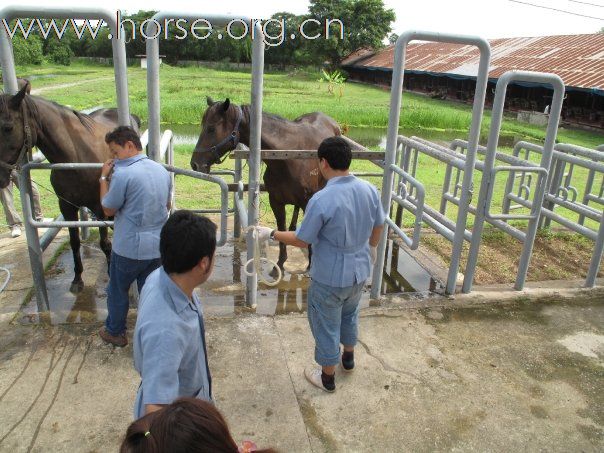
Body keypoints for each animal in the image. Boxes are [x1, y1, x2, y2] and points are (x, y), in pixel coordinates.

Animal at [0, 81, 140, 292]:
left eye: (7, 127)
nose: (0, 175)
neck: (75, 156)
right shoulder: (66, 206)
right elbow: (75, 242)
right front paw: (77, 279)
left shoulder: (100, 206)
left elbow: (104, 243)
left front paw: (110, 275)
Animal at [191, 96, 342, 272]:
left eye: (211, 128)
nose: (194, 164)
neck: (287, 155)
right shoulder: (276, 201)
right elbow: (281, 229)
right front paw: (280, 264)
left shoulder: (307, 202)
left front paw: (311, 265)